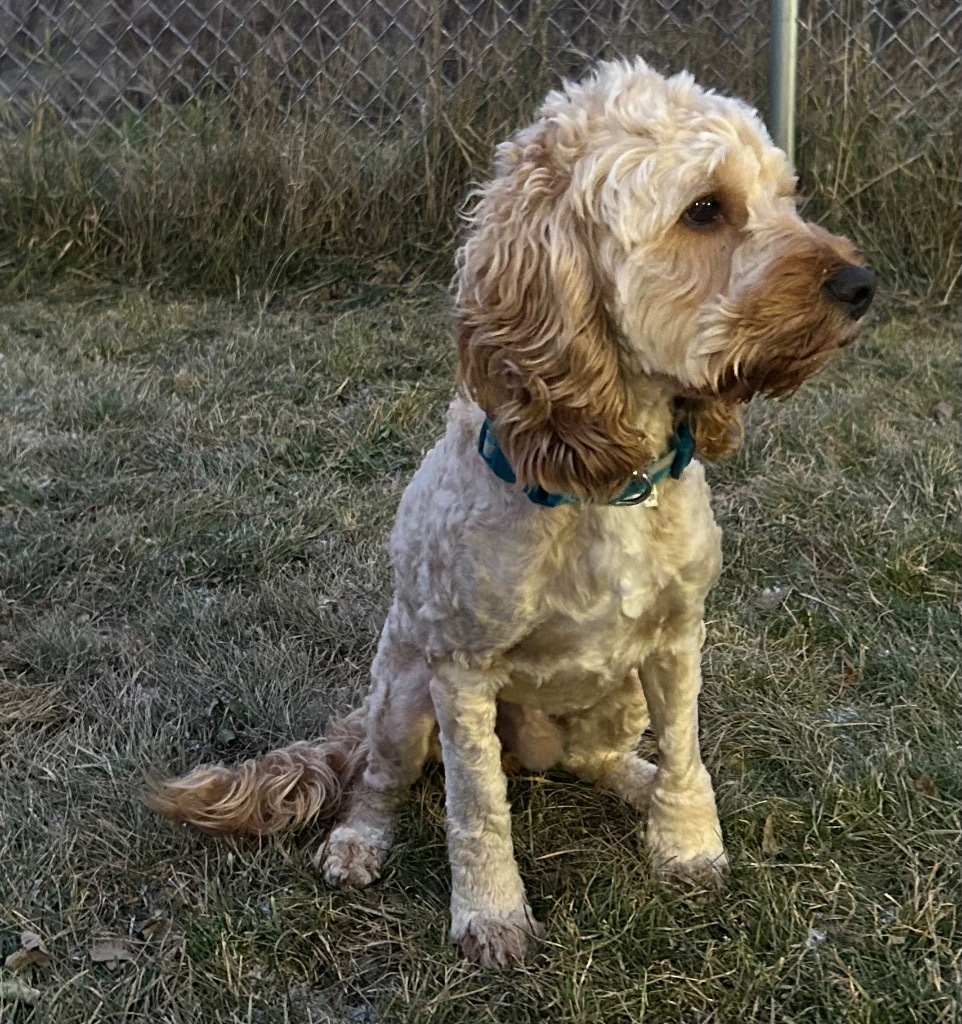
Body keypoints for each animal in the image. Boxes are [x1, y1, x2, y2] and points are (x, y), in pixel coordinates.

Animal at [148, 58, 872, 966]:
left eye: (787, 198)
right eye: (705, 209)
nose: (862, 285)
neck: (603, 483)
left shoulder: (678, 639)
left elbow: (686, 754)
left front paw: (686, 846)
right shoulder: (461, 672)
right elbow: (478, 809)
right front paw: (490, 914)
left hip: (621, 692)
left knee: (598, 760)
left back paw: (632, 785)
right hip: (402, 693)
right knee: (380, 779)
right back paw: (357, 842)